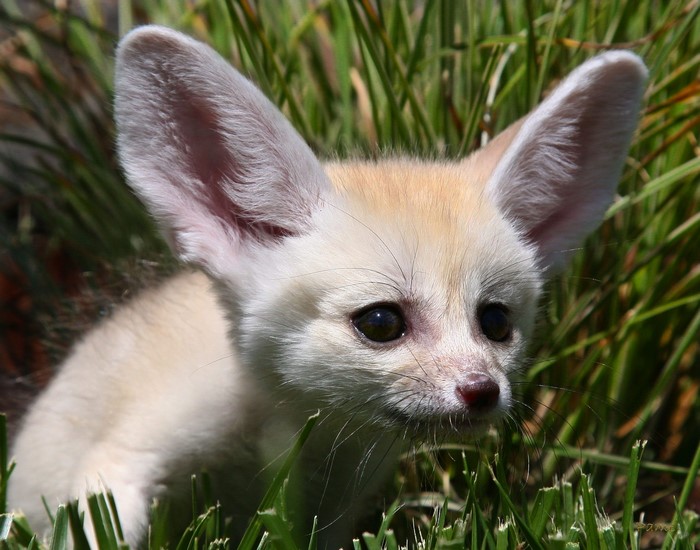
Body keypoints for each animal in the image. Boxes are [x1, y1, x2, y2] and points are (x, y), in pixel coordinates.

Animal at [7, 25, 647, 548]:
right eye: (381, 322)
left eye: (496, 322)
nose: (482, 392)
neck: (281, 431)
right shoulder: (122, 459)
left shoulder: (328, 511)